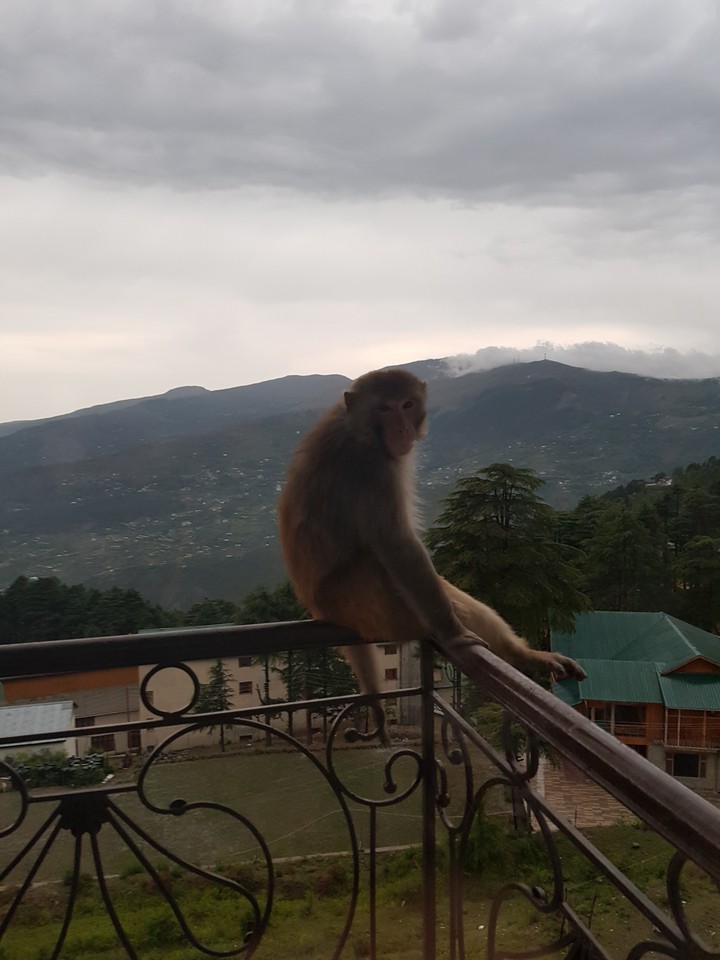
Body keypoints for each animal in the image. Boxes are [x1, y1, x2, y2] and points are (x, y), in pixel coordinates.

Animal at [278, 368, 586, 716]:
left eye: (407, 404)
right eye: (384, 408)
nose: (401, 428)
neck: (357, 427)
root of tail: (318, 608)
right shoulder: (370, 467)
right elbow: (396, 543)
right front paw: (454, 633)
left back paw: (521, 654)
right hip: (363, 601)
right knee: (382, 565)